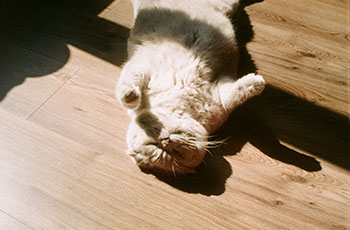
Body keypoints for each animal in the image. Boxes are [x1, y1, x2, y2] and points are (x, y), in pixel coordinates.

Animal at [115, 0, 266, 175]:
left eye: (154, 143)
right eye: (163, 149)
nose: (165, 141)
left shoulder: (141, 67)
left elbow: (126, 86)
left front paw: (131, 96)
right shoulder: (220, 94)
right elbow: (236, 93)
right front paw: (257, 82)